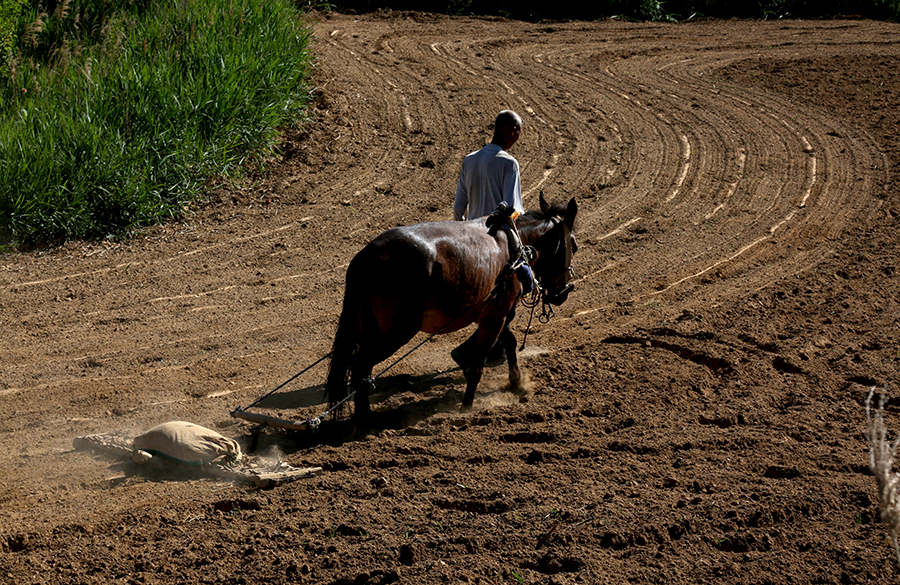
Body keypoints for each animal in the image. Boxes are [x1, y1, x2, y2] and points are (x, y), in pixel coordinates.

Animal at [324, 194, 576, 418]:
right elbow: (478, 365)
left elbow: (510, 343)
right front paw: (467, 406)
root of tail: (364, 258)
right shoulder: (495, 318)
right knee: (360, 365)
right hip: (396, 332)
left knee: (361, 368)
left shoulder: (495, 314)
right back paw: (365, 419)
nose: (564, 292)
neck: (514, 244)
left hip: (369, 326)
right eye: (573, 245)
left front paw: (517, 383)